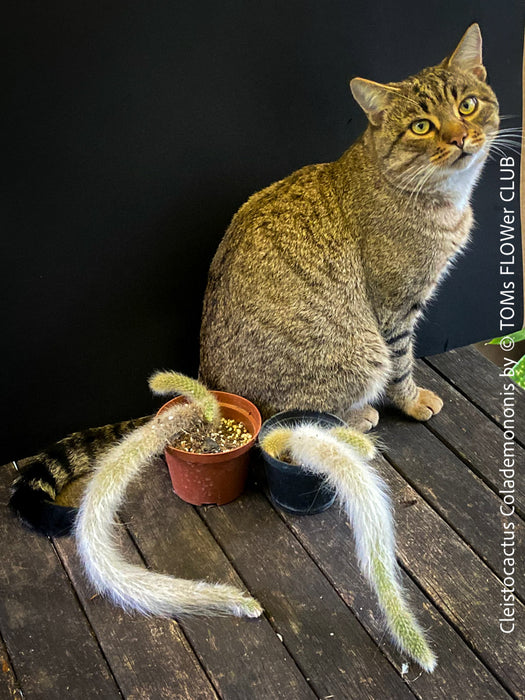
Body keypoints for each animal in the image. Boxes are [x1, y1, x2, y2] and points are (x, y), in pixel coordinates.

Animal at [10, 23, 498, 536]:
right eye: (422, 126)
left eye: (467, 105)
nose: (461, 137)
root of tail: (207, 381)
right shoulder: (393, 309)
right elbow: (402, 363)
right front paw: (410, 400)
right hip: (360, 350)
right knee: (301, 411)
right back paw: (359, 413)